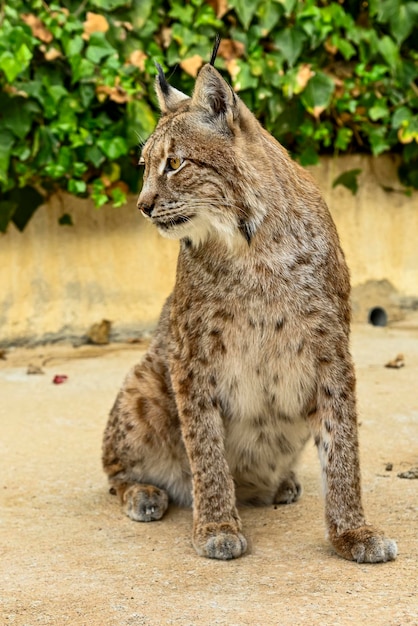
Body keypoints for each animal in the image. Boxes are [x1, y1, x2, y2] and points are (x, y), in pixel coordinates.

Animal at [100, 45, 396, 560]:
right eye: (143, 165)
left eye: (174, 163)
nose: (142, 205)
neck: (251, 247)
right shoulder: (191, 354)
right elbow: (205, 443)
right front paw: (217, 525)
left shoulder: (330, 347)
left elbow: (343, 444)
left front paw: (351, 532)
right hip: (144, 381)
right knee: (113, 469)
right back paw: (146, 492)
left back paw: (277, 485)